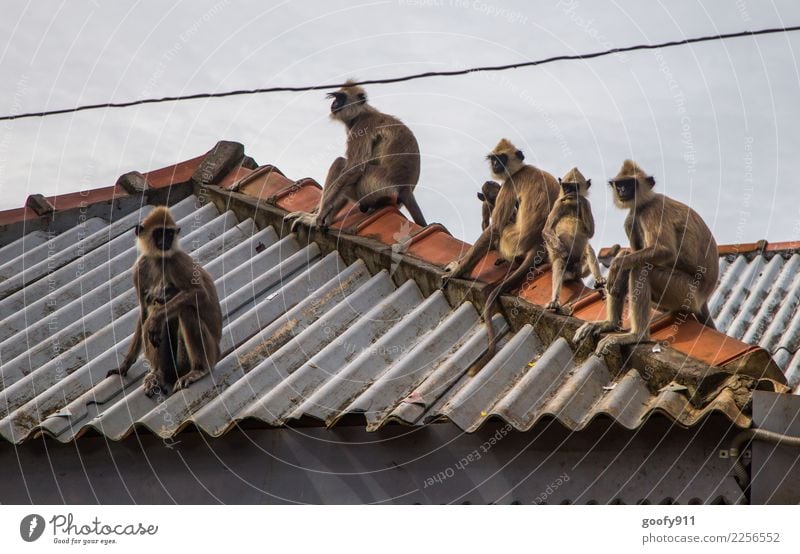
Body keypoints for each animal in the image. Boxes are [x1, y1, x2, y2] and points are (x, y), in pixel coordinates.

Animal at [108, 205, 223, 394]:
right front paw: (124, 365)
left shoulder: (176, 260)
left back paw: (199, 370)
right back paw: (158, 373)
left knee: (185, 310)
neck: (157, 259)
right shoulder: (139, 269)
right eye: (159, 233)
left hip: (206, 354)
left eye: (169, 233)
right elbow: (144, 312)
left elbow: (199, 293)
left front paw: (157, 318)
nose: (166, 241)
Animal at [286, 78, 428, 230]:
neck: (362, 113)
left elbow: (354, 167)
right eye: (336, 97)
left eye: (341, 98)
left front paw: (317, 218)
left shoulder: (362, 126)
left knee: (341, 162)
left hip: (374, 186)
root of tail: (405, 189)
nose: (334, 104)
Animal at [544, 166, 608, 312]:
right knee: (559, 261)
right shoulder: (558, 203)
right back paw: (554, 301)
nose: (568, 192)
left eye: (574, 187)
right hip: (567, 272)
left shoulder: (587, 205)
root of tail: (573, 273)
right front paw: (563, 252)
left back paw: (599, 280)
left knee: (587, 248)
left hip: (581, 269)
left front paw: (580, 199)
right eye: (566, 186)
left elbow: (590, 233)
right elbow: (546, 230)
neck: (571, 204)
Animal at [576, 157, 720, 352]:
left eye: (630, 183)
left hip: (685, 291)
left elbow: (665, 250)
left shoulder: (653, 210)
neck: (644, 203)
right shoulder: (632, 217)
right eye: (620, 184)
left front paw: (616, 265)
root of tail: (704, 297)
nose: (622, 191)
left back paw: (637, 335)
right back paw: (610, 324)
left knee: (641, 268)